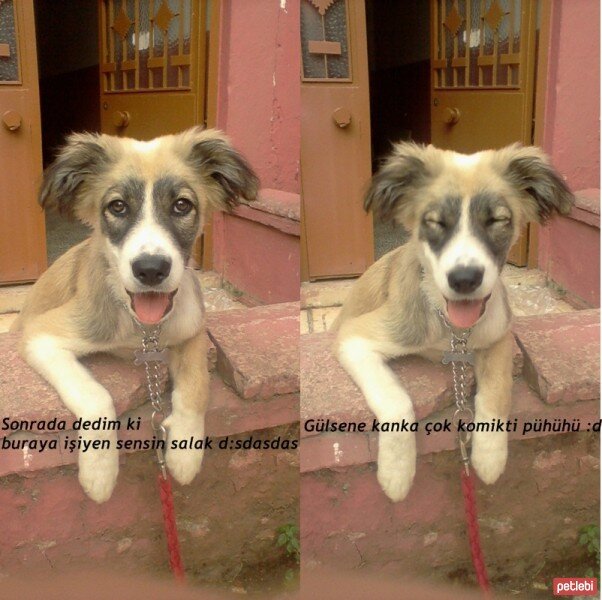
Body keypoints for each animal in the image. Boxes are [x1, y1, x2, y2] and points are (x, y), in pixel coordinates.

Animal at [9, 126, 258, 502]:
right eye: (118, 206)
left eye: (182, 205)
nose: (151, 269)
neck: (142, 329)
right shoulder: (41, 336)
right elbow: (95, 395)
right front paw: (99, 473)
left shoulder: (193, 330)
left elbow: (196, 386)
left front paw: (185, 454)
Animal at [332, 144, 572, 502]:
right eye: (435, 222)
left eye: (497, 220)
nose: (464, 279)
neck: (453, 330)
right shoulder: (354, 338)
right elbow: (396, 400)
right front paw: (397, 474)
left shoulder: (499, 335)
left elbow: (497, 391)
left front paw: (489, 457)